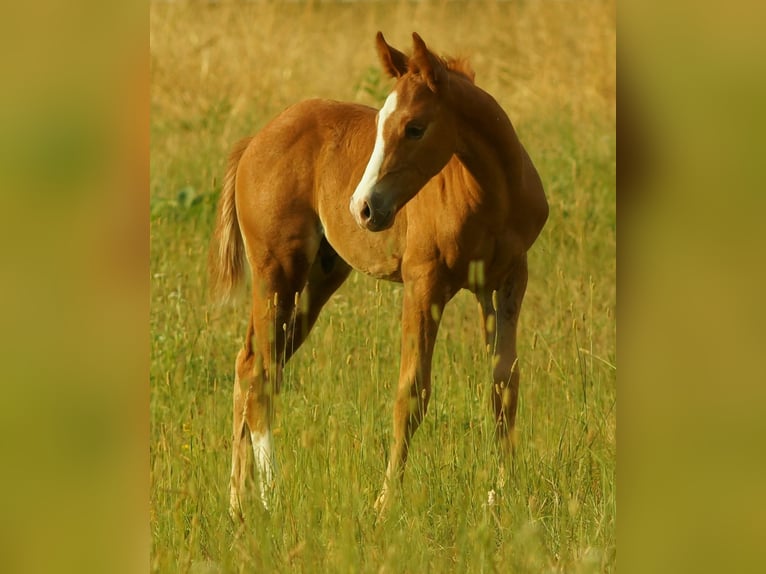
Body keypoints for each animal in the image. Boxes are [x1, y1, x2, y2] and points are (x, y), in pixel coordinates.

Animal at [210, 32, 548, 517]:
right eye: (380, 124)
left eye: (415, 127)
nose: (363, 207)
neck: (493, 196)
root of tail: (256, 140)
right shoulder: (424, 283)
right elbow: (412, 392)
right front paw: (385, 503)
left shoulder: (507, 281)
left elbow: (504, 386)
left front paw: (505, 492)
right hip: (278, 271)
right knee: (261, 372)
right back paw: (272, 495)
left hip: (318, 280)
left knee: (250, 363)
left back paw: (238, 504)